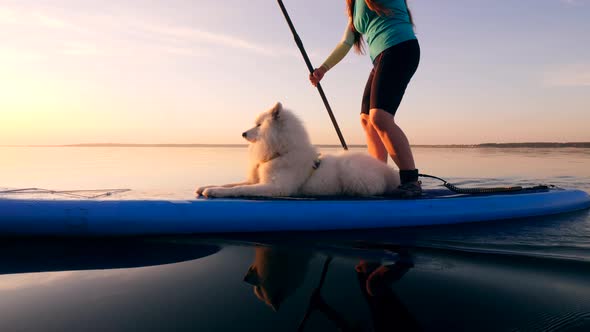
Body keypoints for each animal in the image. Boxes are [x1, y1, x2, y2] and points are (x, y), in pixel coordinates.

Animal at [197, 102, 400, 198]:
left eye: (259, 125)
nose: (243, 133)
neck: (282, 151)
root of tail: (389, 171)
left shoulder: (276, 188)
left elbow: (240, 189)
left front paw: (214, 191)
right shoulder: (256, 180)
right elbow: (231, 184)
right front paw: (207, 186)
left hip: (351, 171)